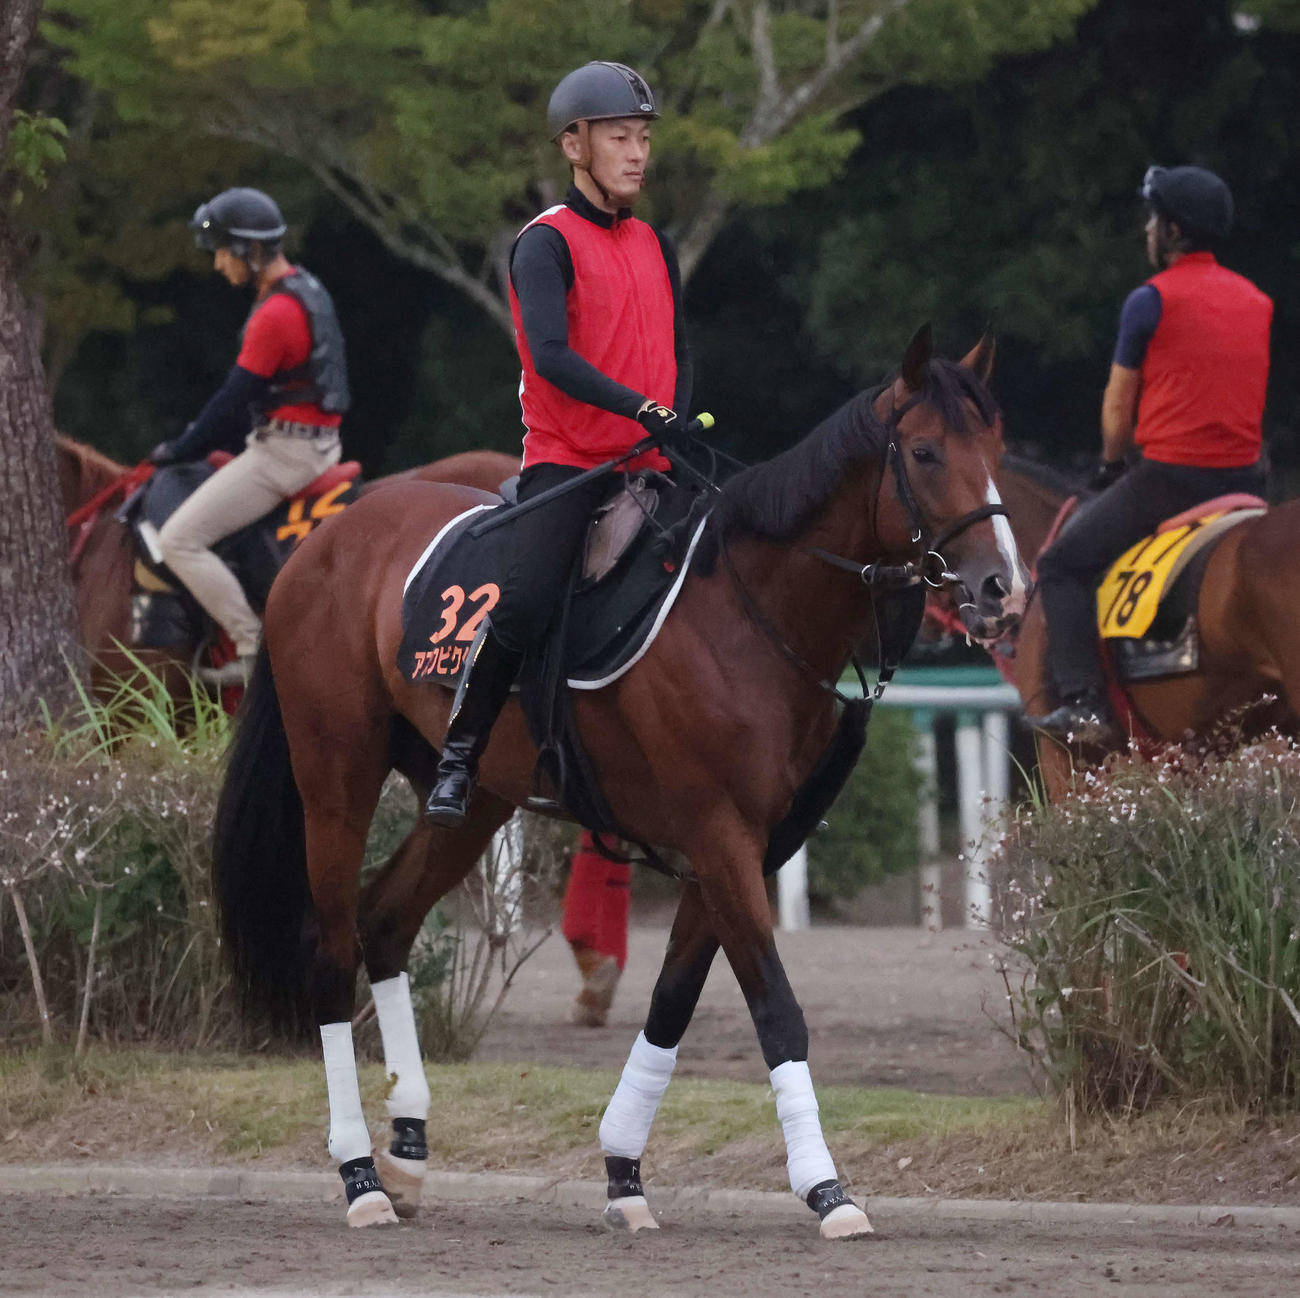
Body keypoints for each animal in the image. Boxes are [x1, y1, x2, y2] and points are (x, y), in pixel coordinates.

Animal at [211, 326, 1027, 1238]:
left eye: (995, 451)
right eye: (924, 452)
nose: (1001, 589)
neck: (749, 613)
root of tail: (322, 545)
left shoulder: (743, 850)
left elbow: (672, 1002)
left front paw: (624, 1172)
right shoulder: (719, 838)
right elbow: (776, 1009)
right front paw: (826, 1188)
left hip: (475, 800)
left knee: (386, 922)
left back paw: (409, 1147)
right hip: (336, 781)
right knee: (331, 946)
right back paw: (360, 1176)